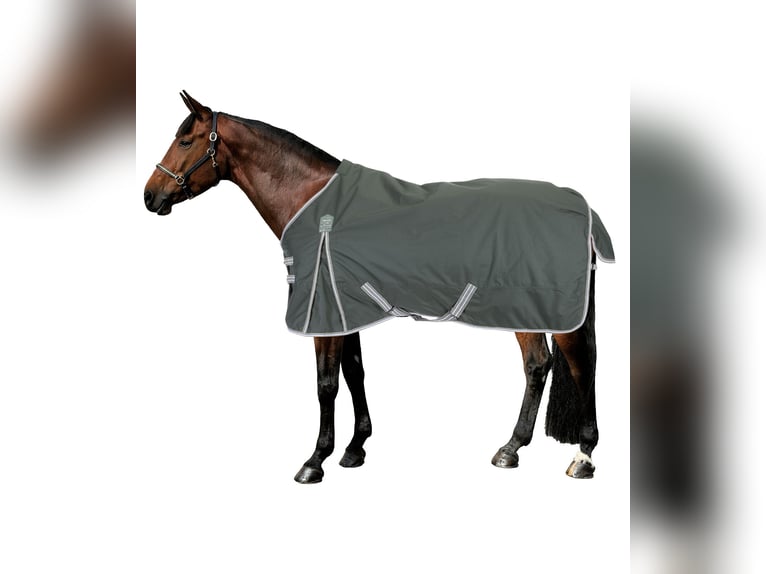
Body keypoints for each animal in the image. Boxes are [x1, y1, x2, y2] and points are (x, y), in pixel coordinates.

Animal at [143, 91, 610, 484]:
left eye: (185, 141)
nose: (150, 196)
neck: (314, 201)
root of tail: (582, 208)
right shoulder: (343, 311)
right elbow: (354, 373)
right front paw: (355, 448)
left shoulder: (323, 313)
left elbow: (326, 383)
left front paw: (315, 460)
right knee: (538, 366)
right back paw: (511, 449)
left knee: (578, 365)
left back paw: (583, 456)